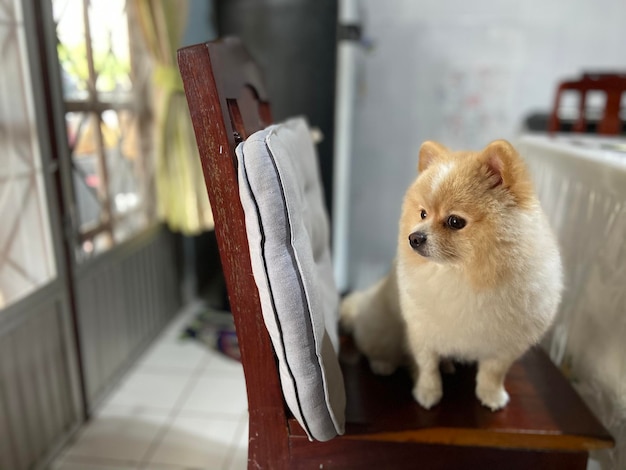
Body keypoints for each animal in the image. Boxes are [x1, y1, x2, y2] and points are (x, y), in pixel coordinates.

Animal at [338, 140, 564, 412]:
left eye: (455, 221)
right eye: (423, 214)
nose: (414, 237)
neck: (462, 277)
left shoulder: (505, 343)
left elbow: (493, 372)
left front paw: (491, 395)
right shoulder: (421, 332)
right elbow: (427, 368)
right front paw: (428, 393)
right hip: (382, 327)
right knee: (374, 345)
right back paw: (383, 364)